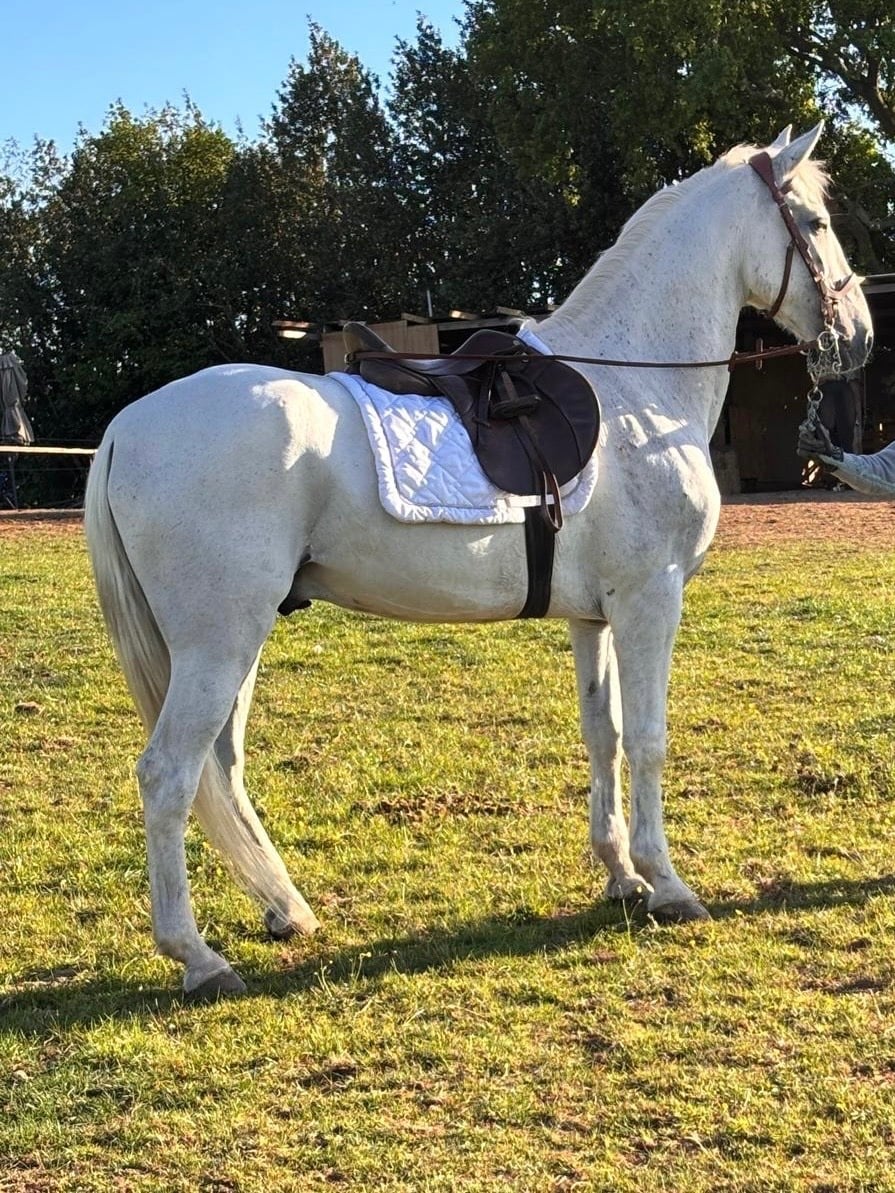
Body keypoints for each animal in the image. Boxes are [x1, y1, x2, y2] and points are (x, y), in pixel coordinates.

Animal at [84, 123, 872, 999]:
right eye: (813, 221)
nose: (858, 336)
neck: (633, 393)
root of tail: (125, 426)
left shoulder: (593, 617)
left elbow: (602, 733)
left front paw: (620, 876)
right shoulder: (649, 600)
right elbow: (648, 738)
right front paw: (667, 884)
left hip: (232, 642)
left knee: (219, 769)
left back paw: (283, 909)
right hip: (218, 641)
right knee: (168, 775)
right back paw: (196, 955)